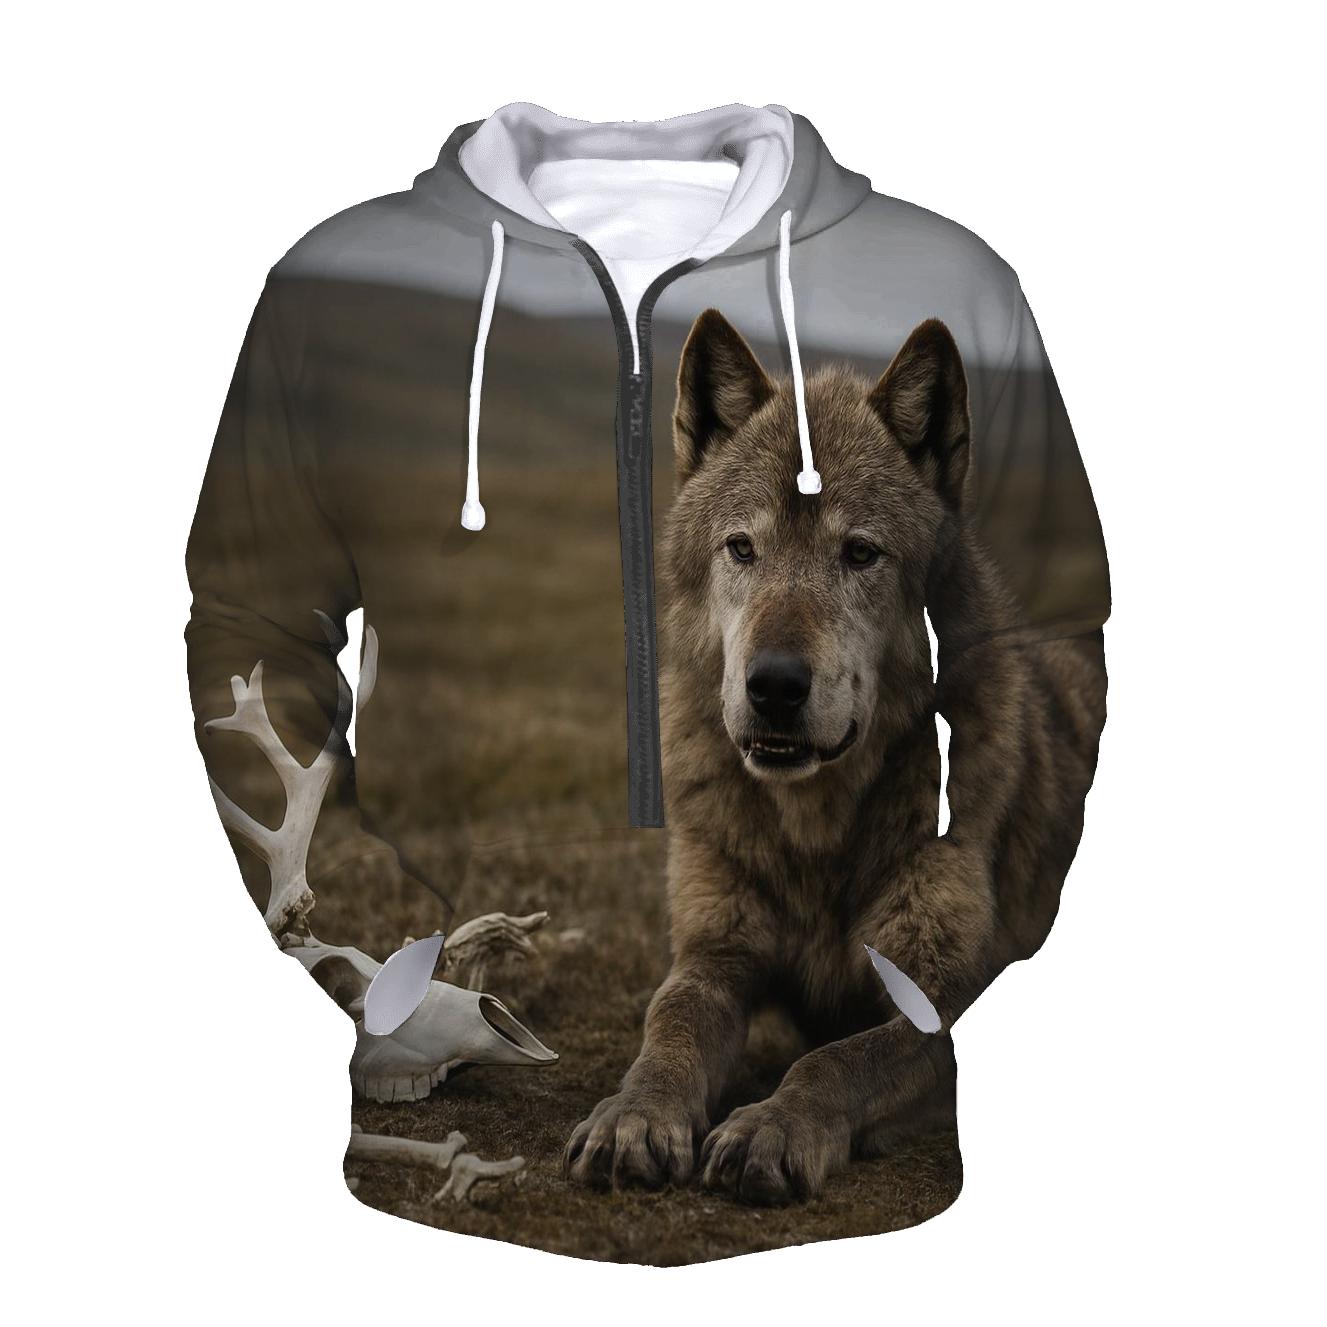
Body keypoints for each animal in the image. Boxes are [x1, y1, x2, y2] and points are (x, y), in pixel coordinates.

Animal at [565, 309, 1107, 1204]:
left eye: (858, 553)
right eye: (741, 548)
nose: (775, 685)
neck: (814, 832)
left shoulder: (938, 997)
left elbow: (835, 1061)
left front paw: (772, 1127)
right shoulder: (713, 954)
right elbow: (667, 1027)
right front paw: (634, 1115)